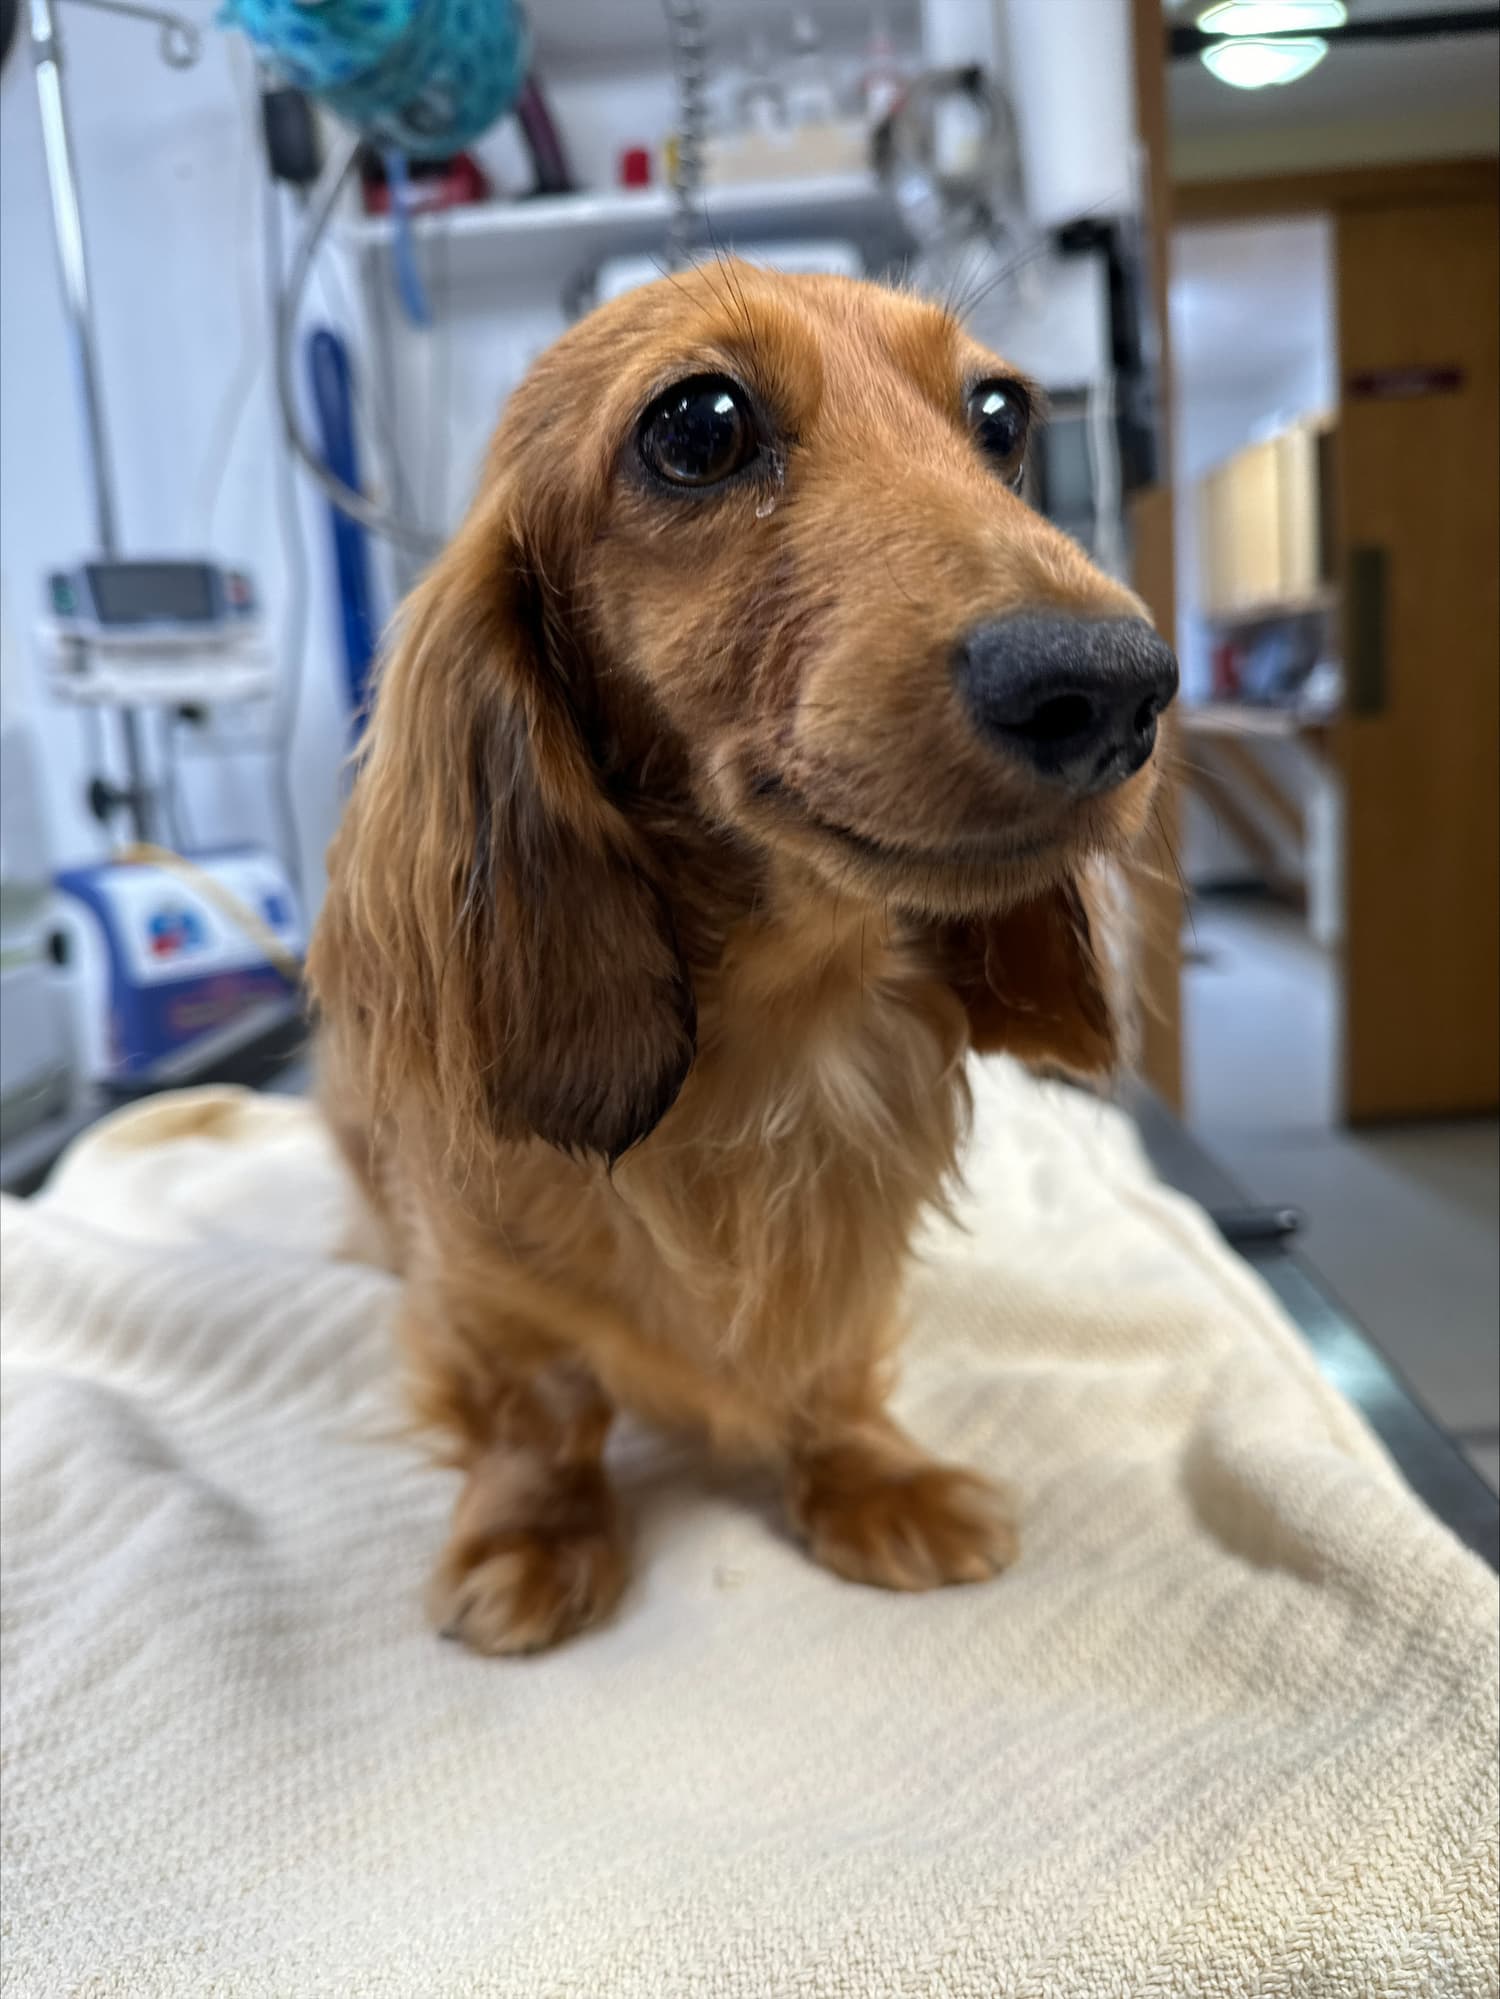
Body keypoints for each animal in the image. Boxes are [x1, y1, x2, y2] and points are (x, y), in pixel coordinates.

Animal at [312, 261, 1184, 1655]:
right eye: (697, 425)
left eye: (1001, 417)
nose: (1115, 687)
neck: (782, 1034)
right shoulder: (477, 1291)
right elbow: (538, 1406)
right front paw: (532, 1533)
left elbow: (828, 1374)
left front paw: (871, 1477)